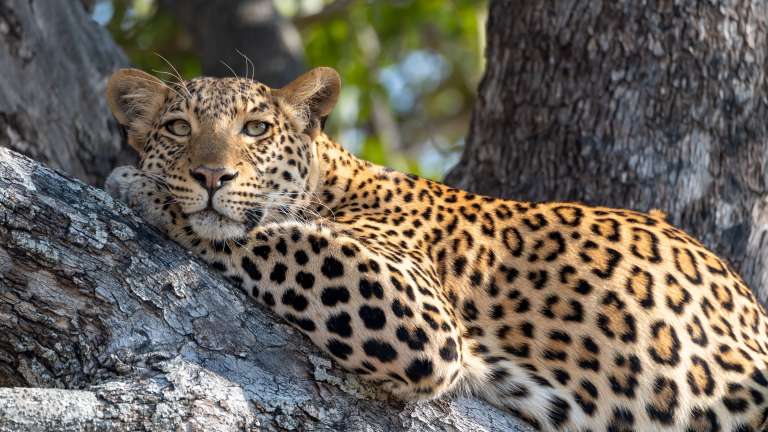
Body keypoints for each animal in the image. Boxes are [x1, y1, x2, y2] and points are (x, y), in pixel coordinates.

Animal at [104, 66, 768, 431]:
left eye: (256, 129)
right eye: (178, 129)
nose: (211, 176)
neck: (336, 179)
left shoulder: (414, 311)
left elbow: (265, 234)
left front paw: (139, 187)